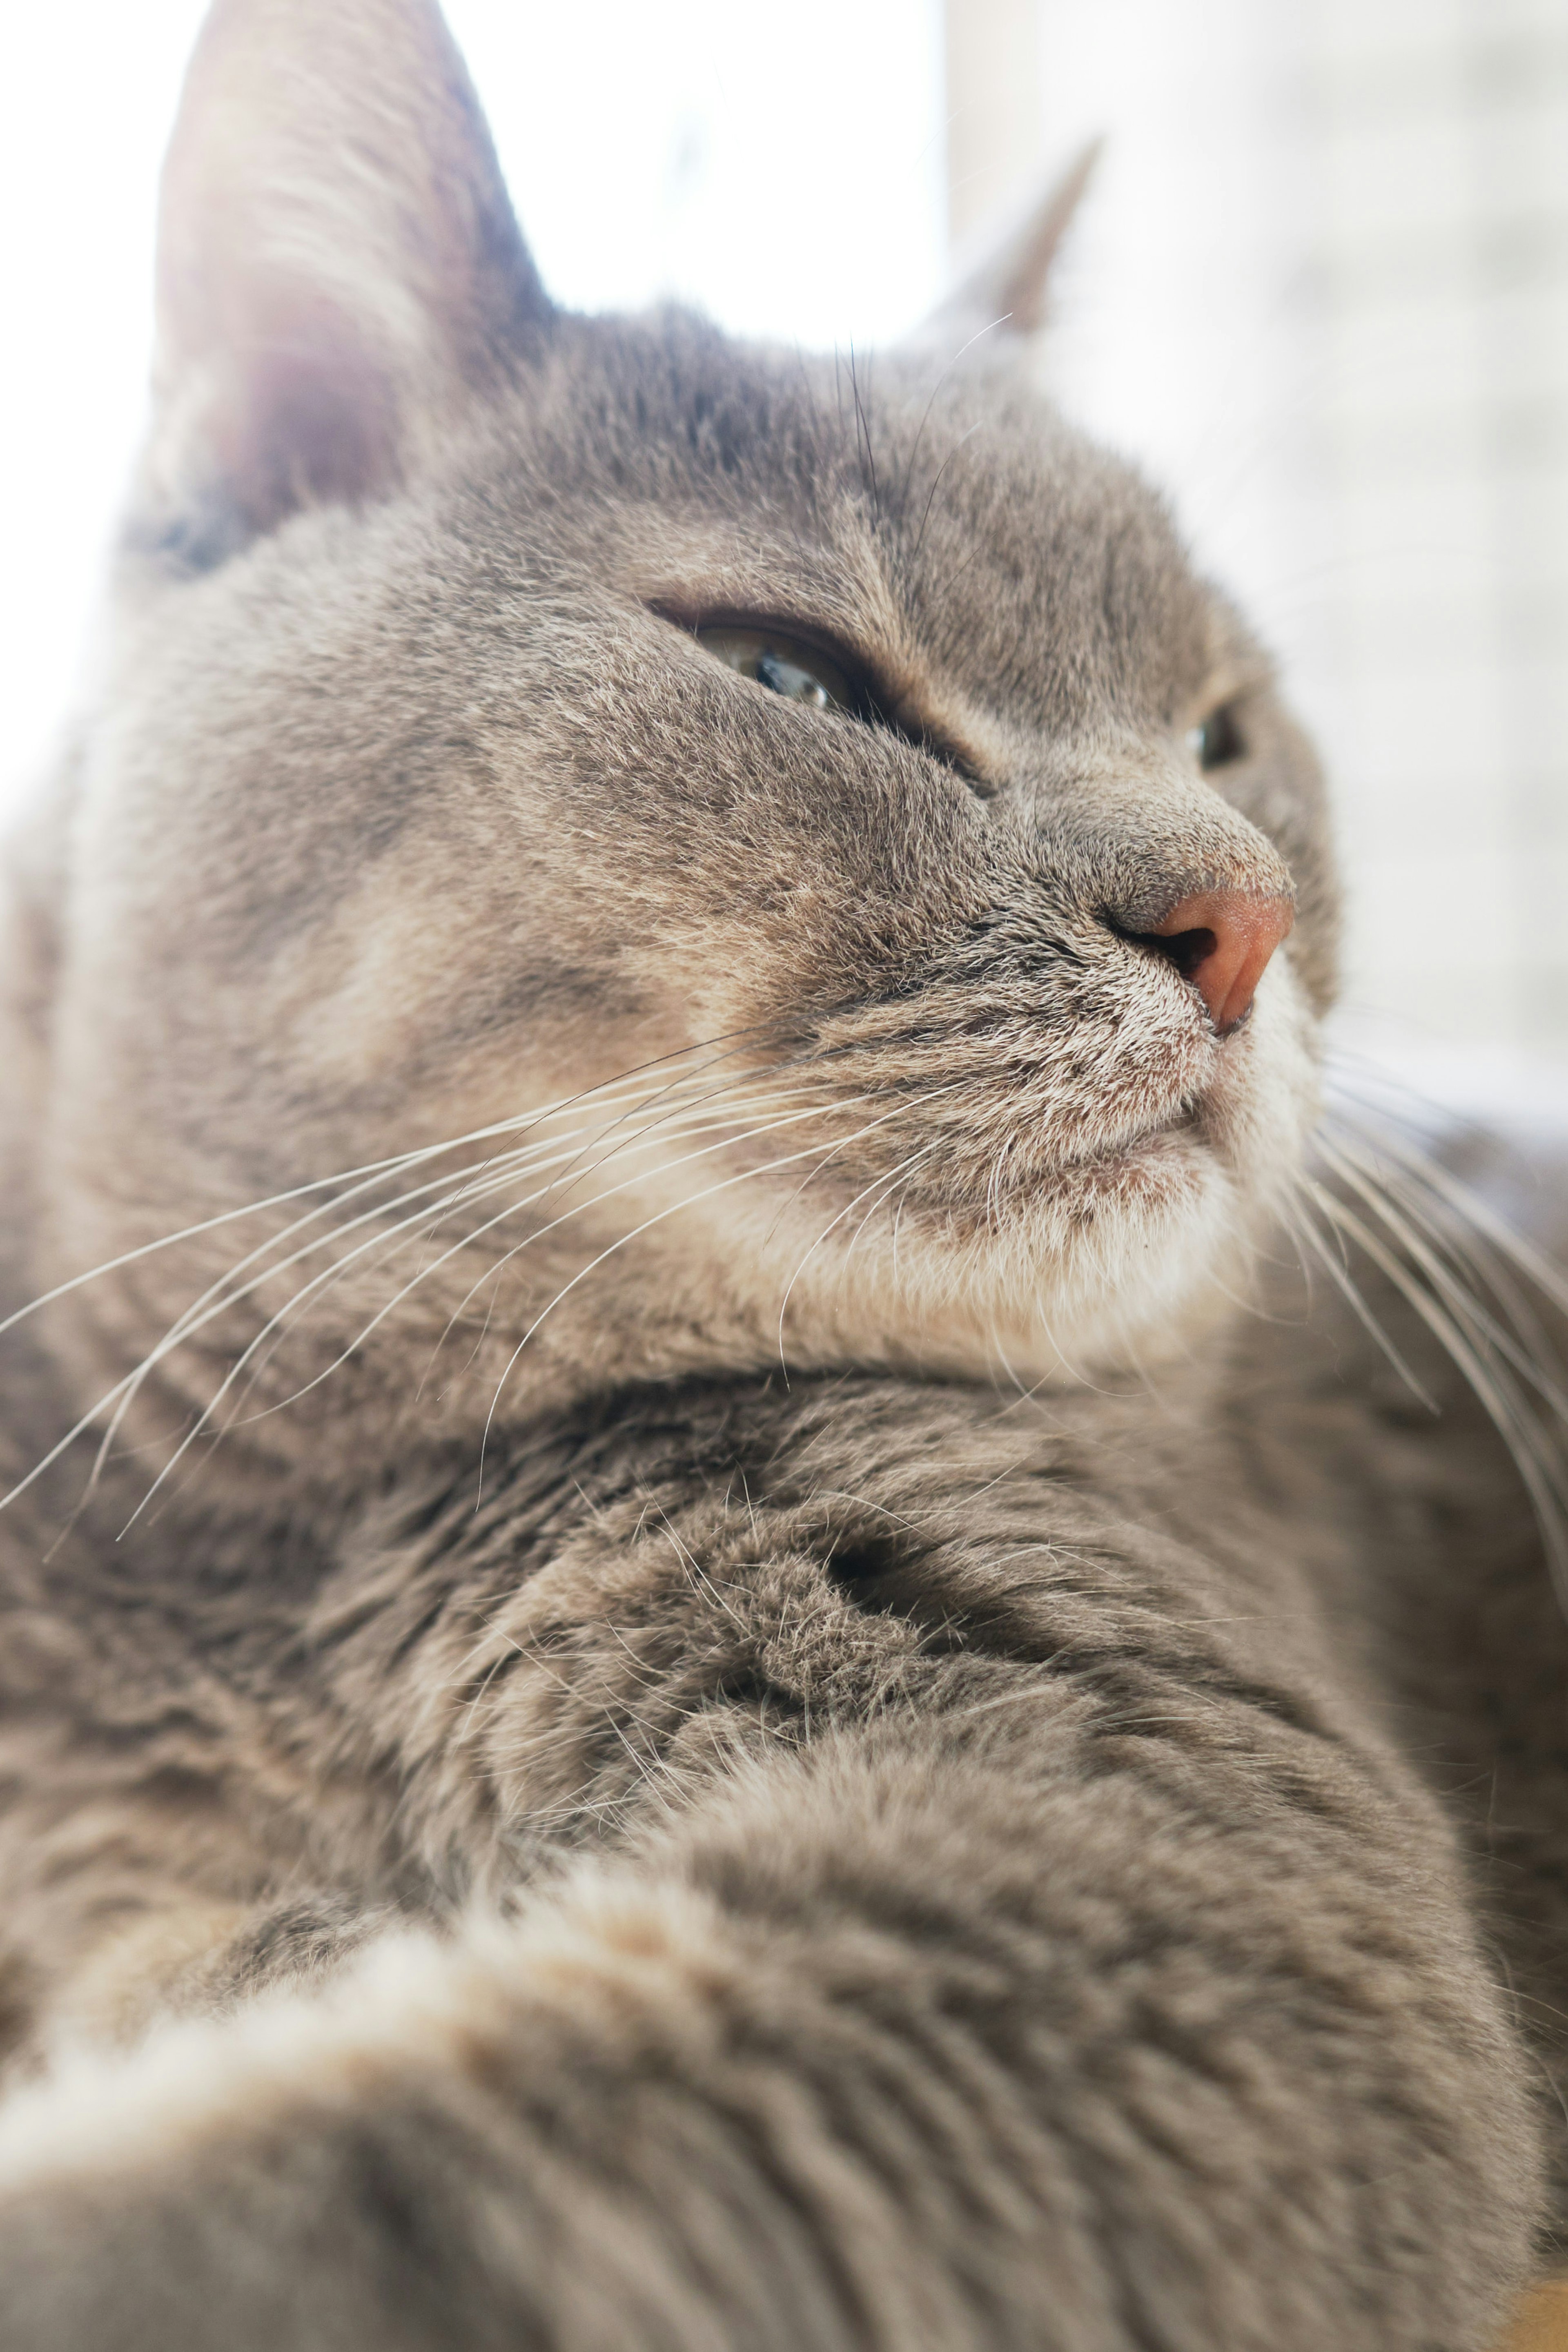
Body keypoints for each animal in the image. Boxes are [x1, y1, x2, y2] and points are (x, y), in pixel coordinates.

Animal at [3, 4, 1568, 2352]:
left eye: (1224, 733)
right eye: (790, 676)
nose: (1246, 914)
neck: (252, 1548)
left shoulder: (1167, 1888)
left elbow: (328, 2188)